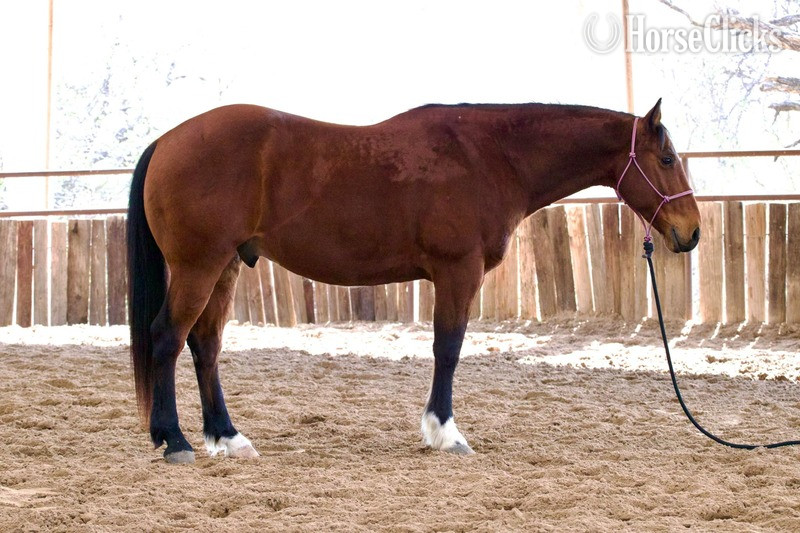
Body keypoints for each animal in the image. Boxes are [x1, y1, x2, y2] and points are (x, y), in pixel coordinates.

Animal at [127, 99, 701, 463]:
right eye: (668, 158)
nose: (691, 232)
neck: (490, 156)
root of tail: (167, 141)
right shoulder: (457, 271)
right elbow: (448, 349)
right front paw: (445, 433)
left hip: (224, 266)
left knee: (204, 346)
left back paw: (227, 438)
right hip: (199, 266)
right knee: (167, 338)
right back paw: (175, 441)